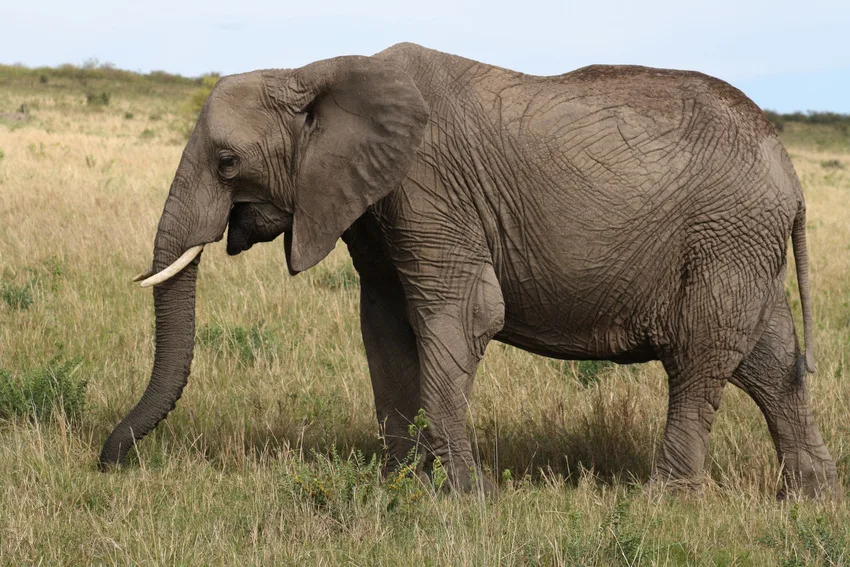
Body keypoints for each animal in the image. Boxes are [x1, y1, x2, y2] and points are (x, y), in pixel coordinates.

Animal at [100, 42, 837, 498]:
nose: (107, 462)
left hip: (726, 236)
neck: (315, 69)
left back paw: (665, 502)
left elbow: (459, 315)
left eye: (227, 162)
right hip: (741, 243)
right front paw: (400, 487)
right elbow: (385, 326)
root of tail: (792, 172)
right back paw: (811, 498)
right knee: (769, 361)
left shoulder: (428, 188)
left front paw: (466, 498)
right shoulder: (374, 202)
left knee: (698, 356)